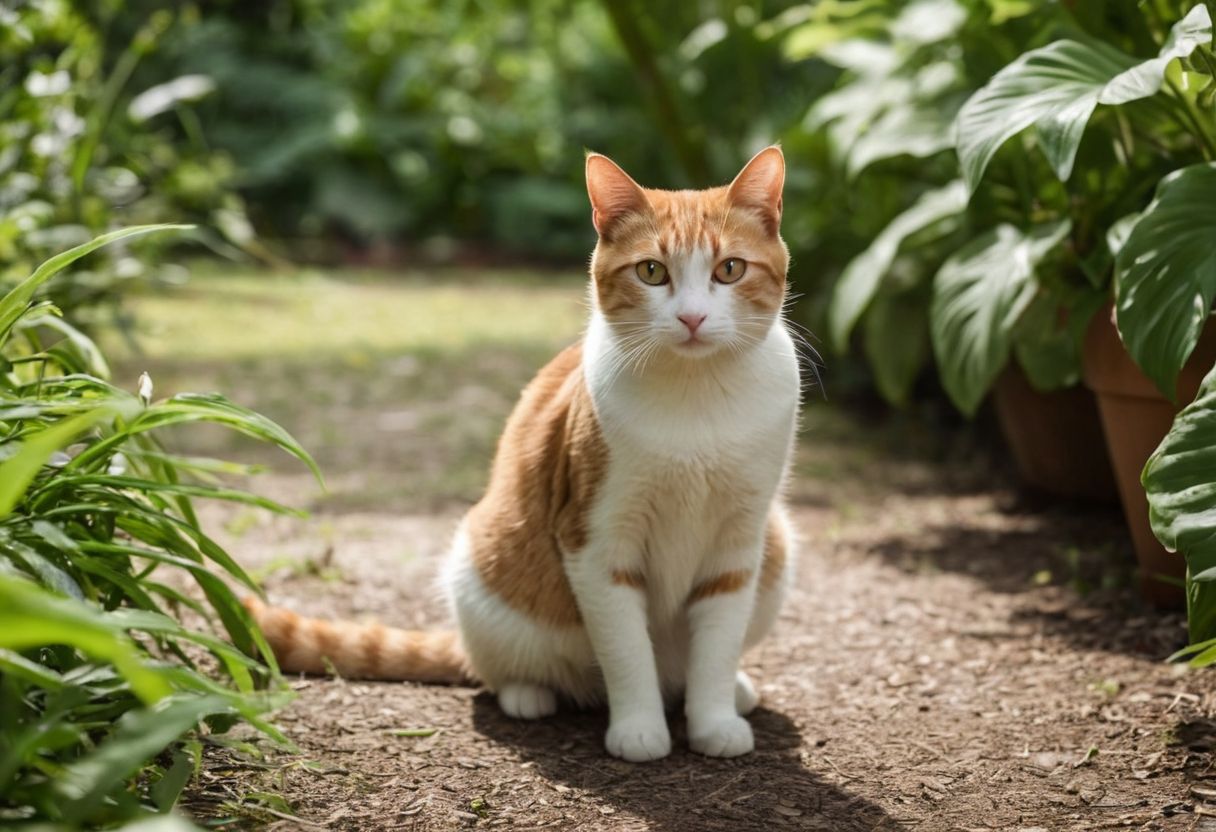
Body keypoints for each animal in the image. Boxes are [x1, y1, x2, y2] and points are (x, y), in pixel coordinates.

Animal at [245, 145, 797, 763]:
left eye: (730, 270)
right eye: (652, 272)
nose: (693, 318)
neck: (696, 400)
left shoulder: (740, 542)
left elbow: (718, 648)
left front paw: (715, 721)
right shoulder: (595, 540)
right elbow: (627, 651)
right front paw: (639, 729)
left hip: (778, 546)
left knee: (690, 667)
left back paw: (732, 690)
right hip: (478, 567)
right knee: (499, 668)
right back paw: (529, 694)